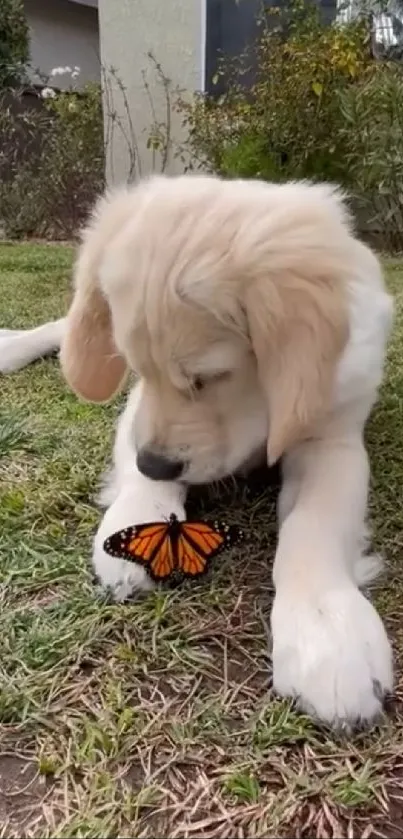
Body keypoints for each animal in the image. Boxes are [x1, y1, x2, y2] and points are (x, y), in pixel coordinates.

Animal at [60, 172, 394, 728]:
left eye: (208, 377)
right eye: (135, 366)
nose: (156, 463)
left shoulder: (333, 435)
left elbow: (316, 522)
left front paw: (326, 629)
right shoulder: (139, 409)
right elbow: (137, 462)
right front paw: (133, 522)